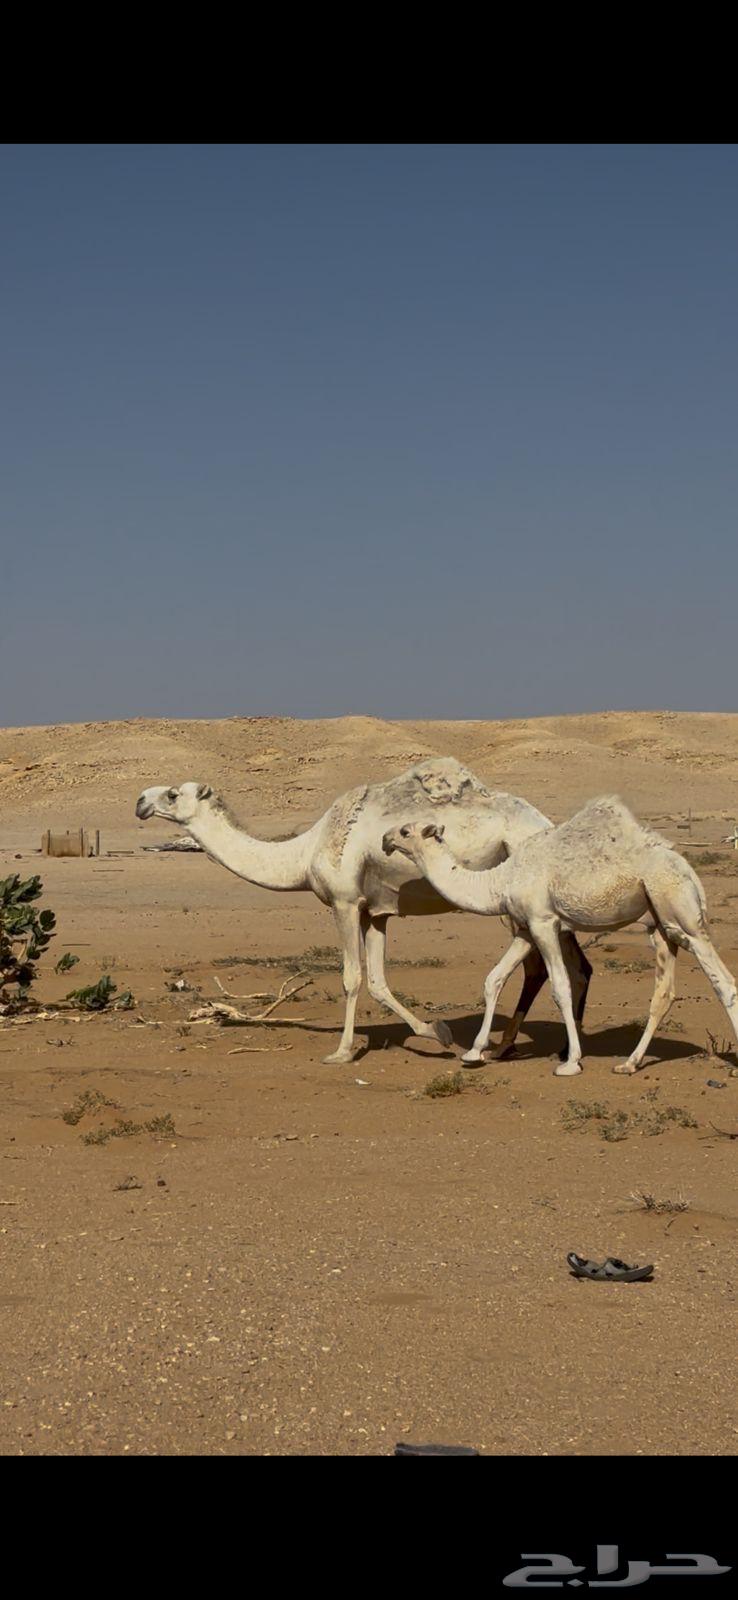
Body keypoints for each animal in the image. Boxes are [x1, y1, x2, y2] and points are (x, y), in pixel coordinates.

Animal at [135, 757, 592, 1064]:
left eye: (173, 793)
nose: (140, 801)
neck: (304, 852)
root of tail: (543, 823)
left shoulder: (344, 903)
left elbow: (352, 978)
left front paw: (341, 1051)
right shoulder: (377, 912)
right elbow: (378, 981)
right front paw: (437, 1031)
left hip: (515, 895)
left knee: (541, 964)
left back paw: (518, 1047)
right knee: (574, 964)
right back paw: (541, 1046)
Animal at [382, 794, 738, 1076]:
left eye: (405, 830)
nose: (385, 839)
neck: (501, 880)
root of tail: (688, 870)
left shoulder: (544, 922)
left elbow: (562, 987)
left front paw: (571, 1062)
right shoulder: (526, 928)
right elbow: (494, 978)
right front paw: (473, 1052)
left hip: (681, 913)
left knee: (724, 982)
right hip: (660, 924)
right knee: (664, 992)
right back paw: (629, 1063)